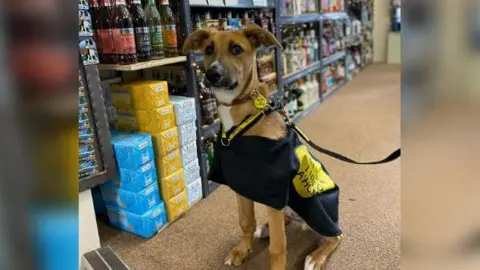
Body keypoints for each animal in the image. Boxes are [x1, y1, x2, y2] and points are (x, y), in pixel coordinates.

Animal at [182, 24, 344, 268]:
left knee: (335, 236)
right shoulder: (240, 182)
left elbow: (277, 247)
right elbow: (246, 222)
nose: (212, 74)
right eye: (208, 49)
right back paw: (266, 228)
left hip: (315, 207)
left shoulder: (273, 191)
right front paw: (242, 250)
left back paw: (316, 257)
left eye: (236, 49)